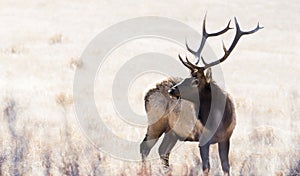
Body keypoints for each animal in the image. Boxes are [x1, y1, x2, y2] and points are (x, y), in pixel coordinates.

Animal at [139, 15, 262, 175]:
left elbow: (226, 166)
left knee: (163, 150)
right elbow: (206, 167)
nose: (172, 90)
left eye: (195, 80)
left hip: (172, 131)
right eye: (188, 76)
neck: (219, 121)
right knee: (145, 147)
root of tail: (147, 94)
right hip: (156, 121)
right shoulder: (203, 140)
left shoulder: (226, 137)